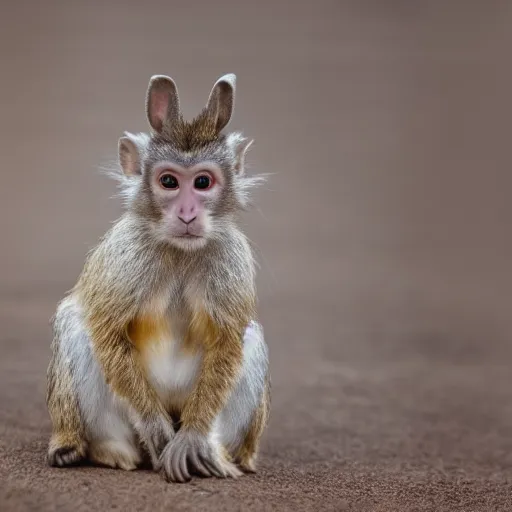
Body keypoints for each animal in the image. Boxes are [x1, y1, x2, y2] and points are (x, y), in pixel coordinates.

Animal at [47, 73, 272, 484]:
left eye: (202, 182)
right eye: (169, 181)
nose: (187, 213)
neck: (179, 251)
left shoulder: (230, 257)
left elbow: (228, 341)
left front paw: (192, 439)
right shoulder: (129, 254)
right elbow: (107, 331)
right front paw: (155, 429)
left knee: (250, 336)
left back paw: (217, 454)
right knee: (75, 320)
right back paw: (99, 449)